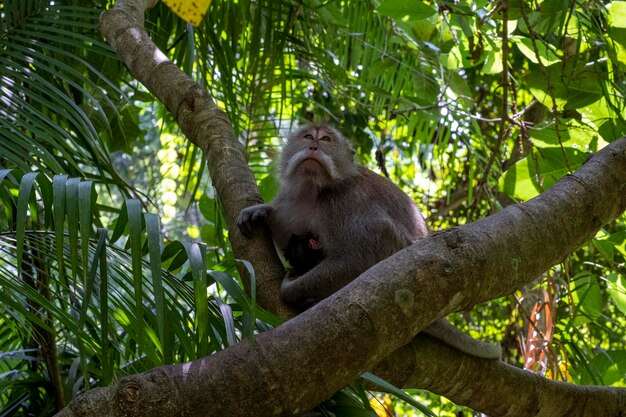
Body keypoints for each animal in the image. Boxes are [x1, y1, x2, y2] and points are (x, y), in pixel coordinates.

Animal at [236, 122, 500, 358]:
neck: (315, 189)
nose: (313, 147)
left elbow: (354, 260)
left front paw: (290, 289)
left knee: (380, 231)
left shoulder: (345, 201)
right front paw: (262, 212)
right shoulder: (290, 201)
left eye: (326, 140)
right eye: (308, 136)